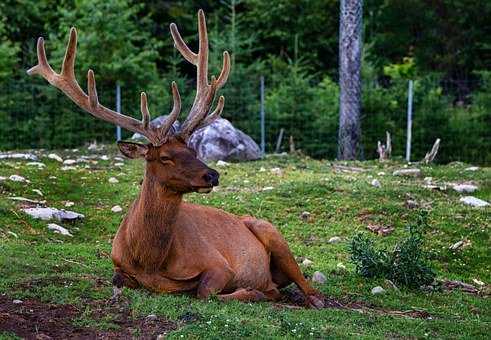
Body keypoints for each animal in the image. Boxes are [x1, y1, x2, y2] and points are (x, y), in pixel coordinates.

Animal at [28, 9, 324, 308]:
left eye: (193, 150)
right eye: (165, 157)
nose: (212, 175)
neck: (150, 260)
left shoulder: (219, 264)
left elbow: (204, 291)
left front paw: (252, 291)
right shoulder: (118, 263)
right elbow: (118, 279)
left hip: (271, 231)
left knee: (304, 286)